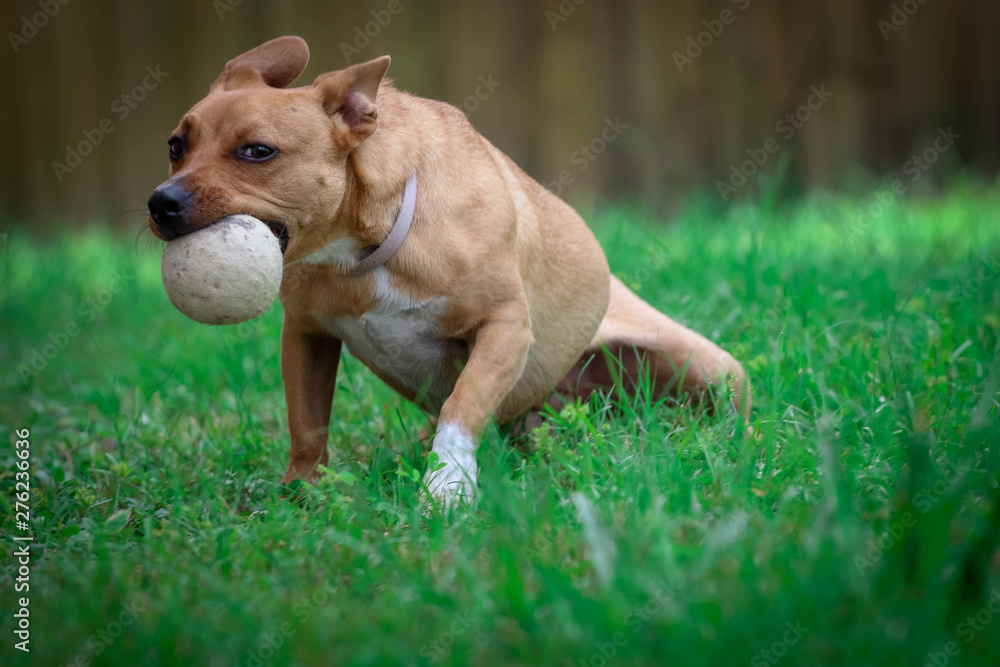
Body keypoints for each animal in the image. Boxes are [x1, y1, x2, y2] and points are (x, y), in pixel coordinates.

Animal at [148, 36, 752, 506]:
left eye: (258, 151)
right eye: (175, 146)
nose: (161, 202)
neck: (366, 249)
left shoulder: (504, 328)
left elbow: (462, 406)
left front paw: (448, 486)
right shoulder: (306, 335)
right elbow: (307, 422)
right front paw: (301, 493)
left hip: (707, 368)